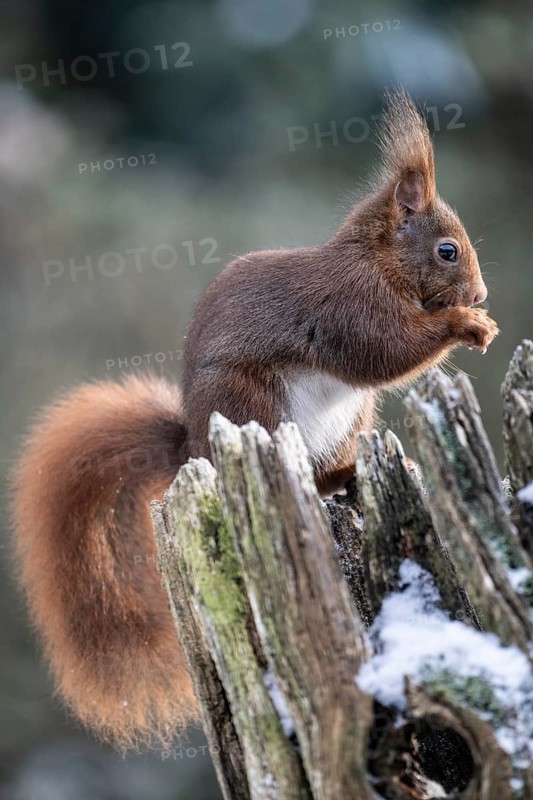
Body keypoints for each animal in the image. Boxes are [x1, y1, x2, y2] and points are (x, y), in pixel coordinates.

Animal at [11, 89, 499, 749]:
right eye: (446, 250)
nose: (478, 296)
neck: (378, 262)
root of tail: (191, 446)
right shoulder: (350, 306)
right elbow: (384, 350)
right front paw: (465, 326)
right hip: (252, 404)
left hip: (347, 418)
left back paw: (345, 473)